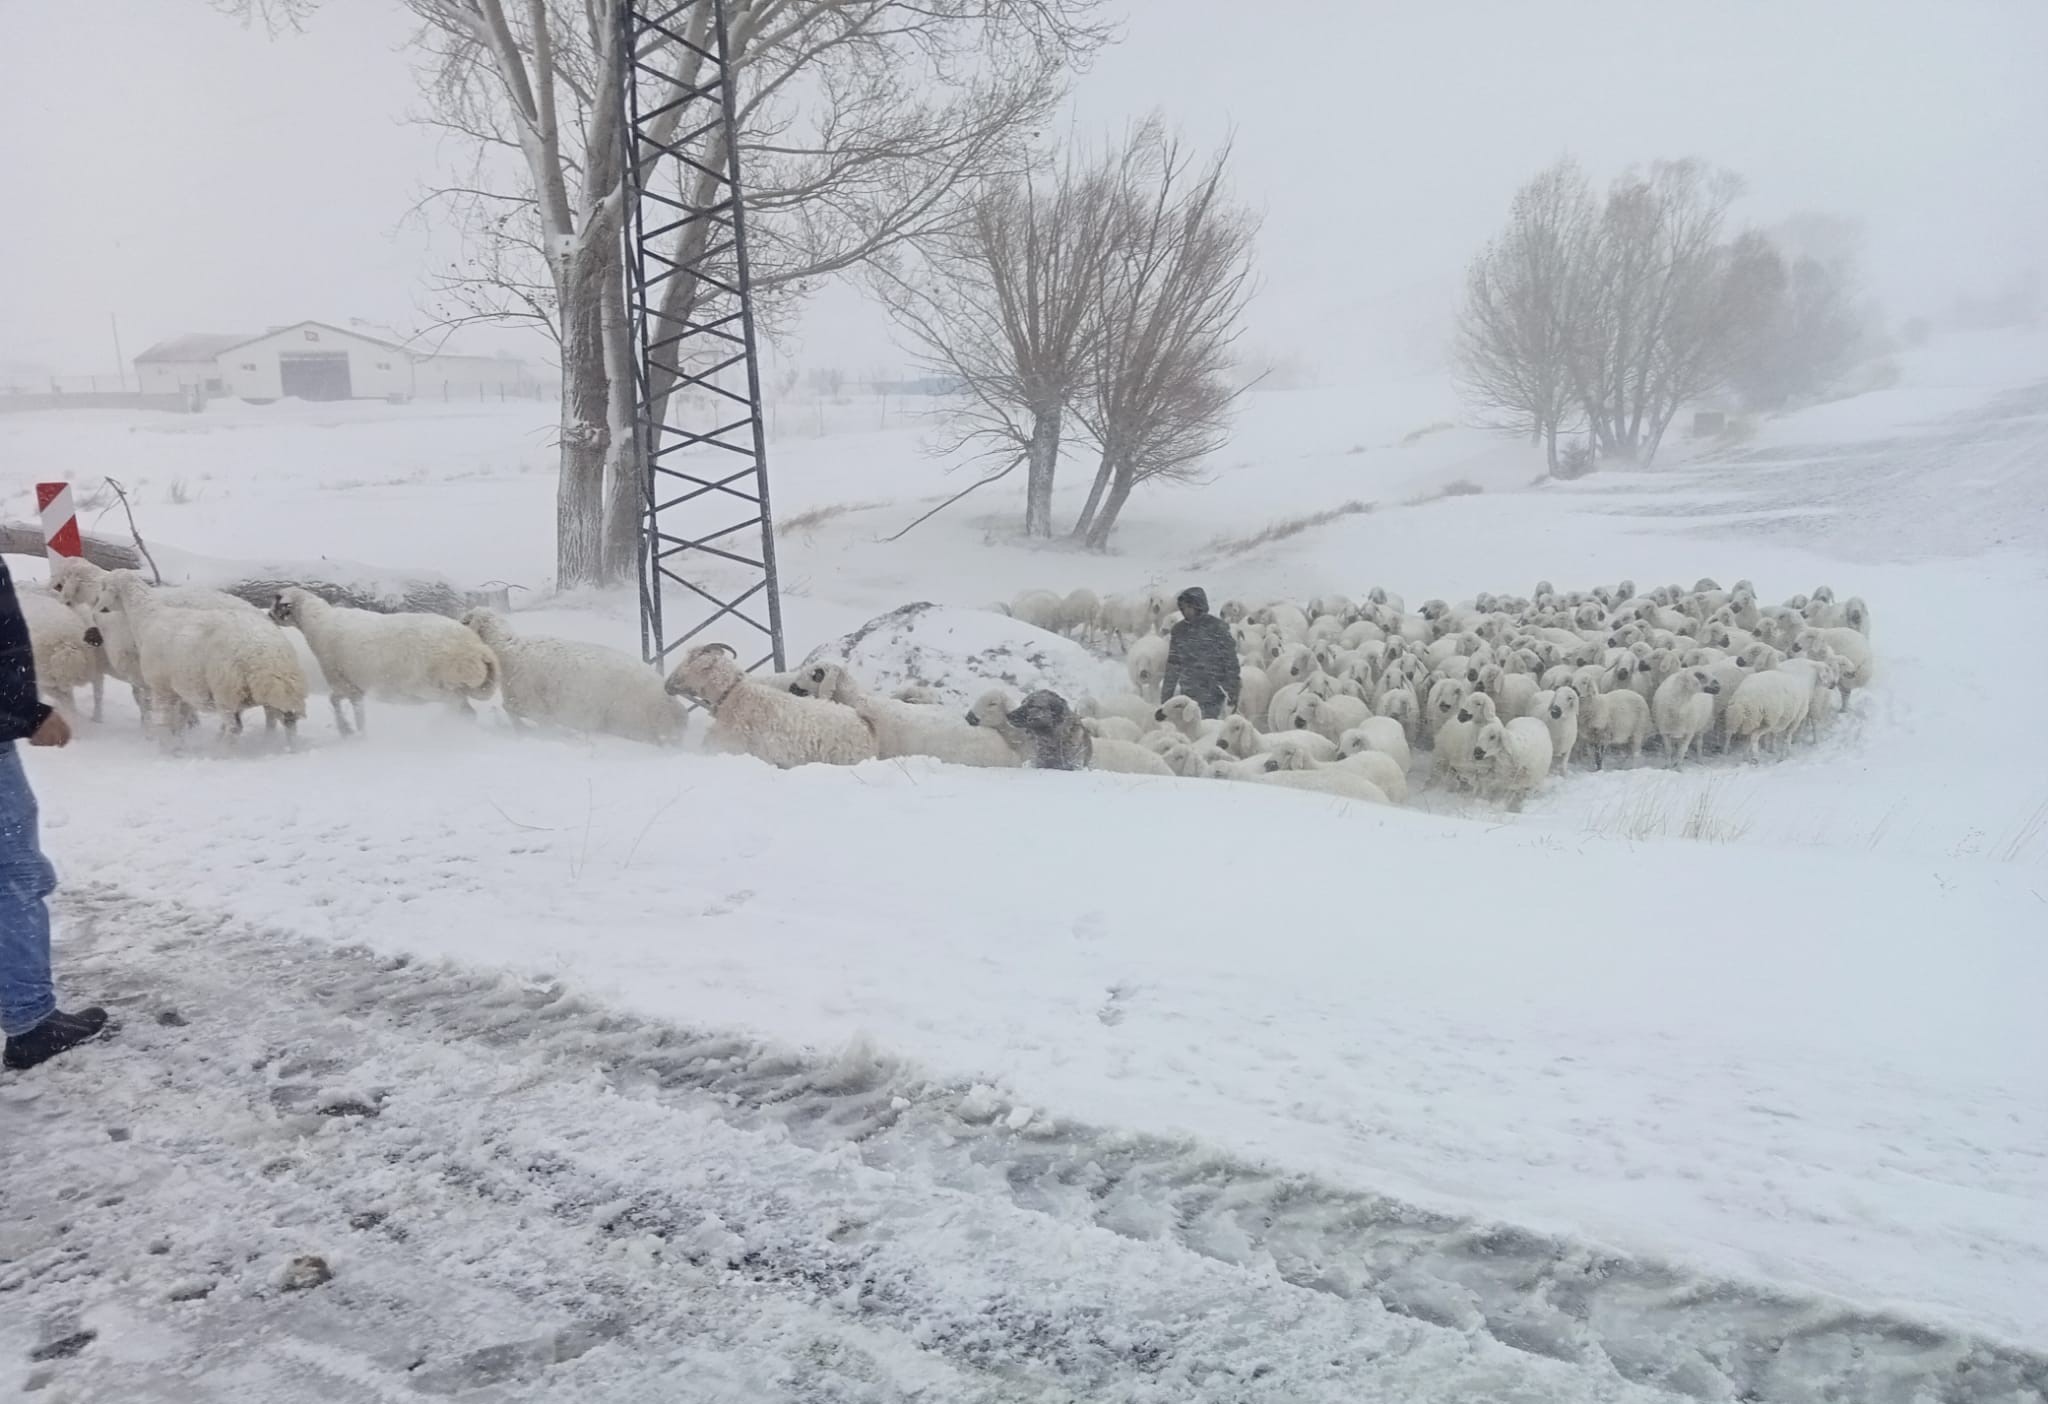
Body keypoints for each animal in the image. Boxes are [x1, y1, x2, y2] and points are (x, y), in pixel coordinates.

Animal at [270, 587, 497, 735]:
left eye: (278, 603)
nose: (270, 615)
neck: (317, 622)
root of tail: (479, 650)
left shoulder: (343, 682)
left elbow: (337, 703)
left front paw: (349, 730)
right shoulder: (354, 687)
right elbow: (355, 711)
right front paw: (356, 731)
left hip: (437, 688)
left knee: (460, 708)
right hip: (454, 688)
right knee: (467, 712)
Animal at [461, 609, 684, 746]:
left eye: (465, 620)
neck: (507, 649)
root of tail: (673, 706)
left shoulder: (533, 703)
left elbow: (518, 713)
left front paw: (528, 732)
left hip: (629, 722)